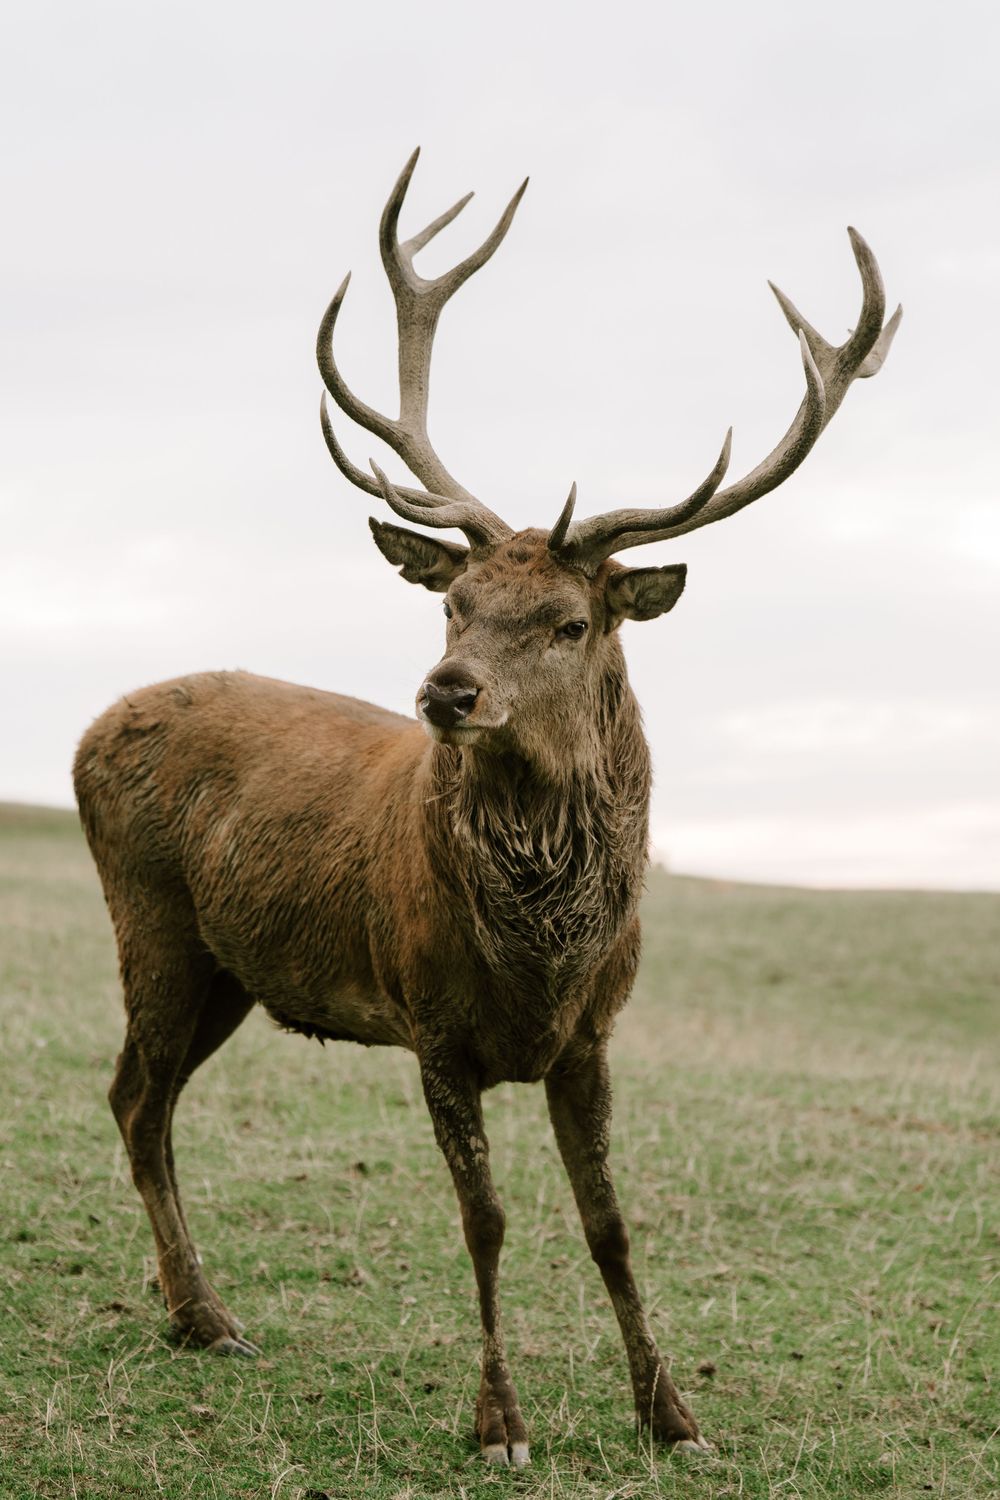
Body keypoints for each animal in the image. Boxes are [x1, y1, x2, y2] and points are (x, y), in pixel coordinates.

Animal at [74, 149, 900, 1467]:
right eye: (451, 601)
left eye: (568, 621)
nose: (445, 692)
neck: (536, 961)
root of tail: (86, 731)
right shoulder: (431, 1023)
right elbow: (488, 1221)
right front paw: (500, 1423)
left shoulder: (595, 1033)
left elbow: (609, 1224)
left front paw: (673, 1415)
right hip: (149, 924)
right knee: (137, 1101)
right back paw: (208, 1319)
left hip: (227, 969)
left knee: (133, 1094)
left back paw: (189, 1314)